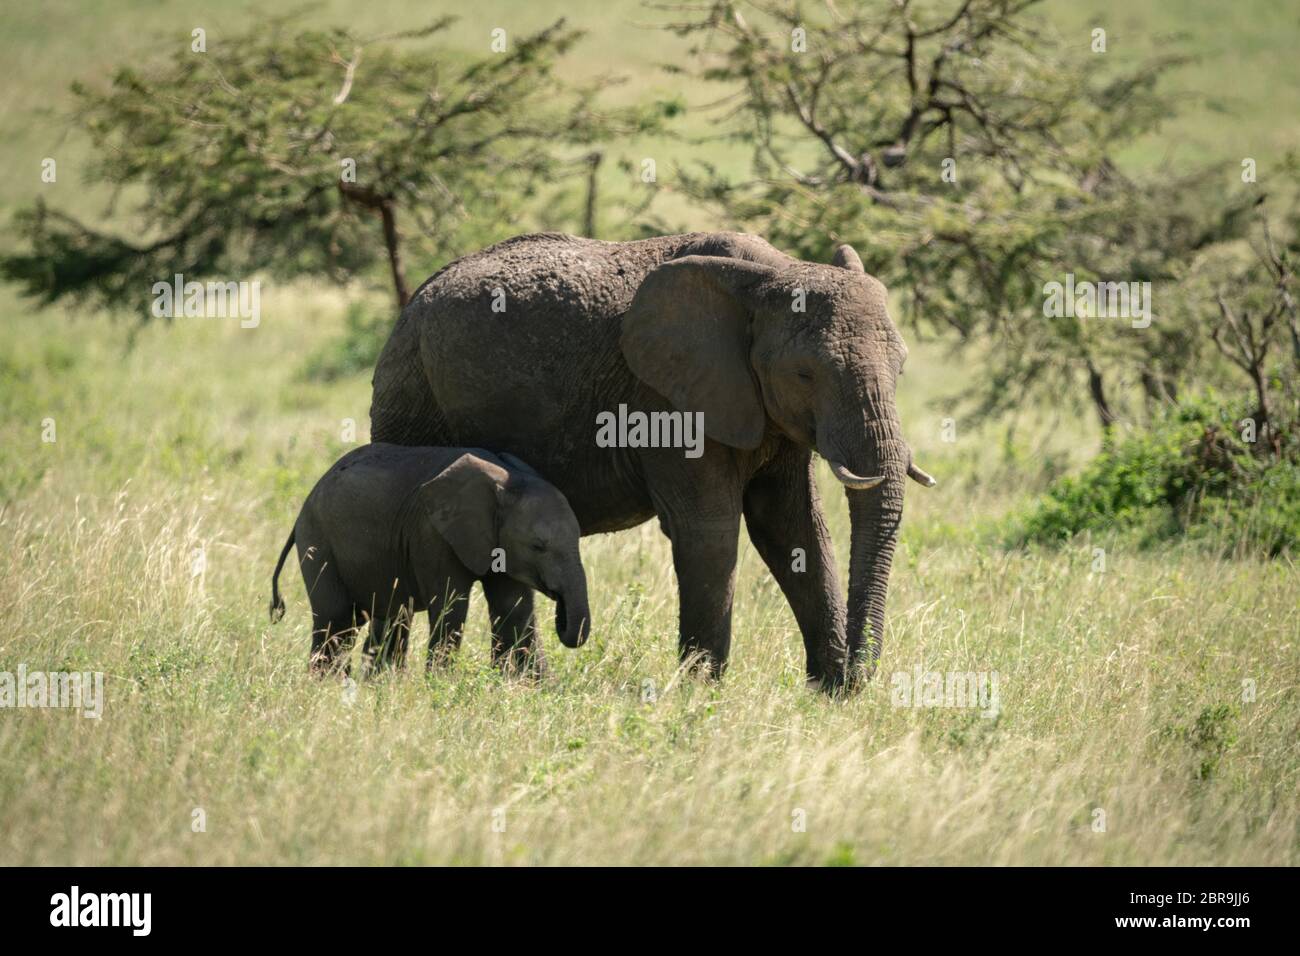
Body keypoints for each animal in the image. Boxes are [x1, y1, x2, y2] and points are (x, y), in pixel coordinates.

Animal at [269, 444, 591, 675]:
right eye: (538, 546)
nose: (561, 611)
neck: (506, 480)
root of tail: (304, 506)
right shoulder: (432, 534)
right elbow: (451, 607)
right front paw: (442, 686)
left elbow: (513, 609)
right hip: (318, 539)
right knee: (336, 621)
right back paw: (328, 686)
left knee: (385, 617)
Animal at [369, 232, 935, 690]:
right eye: (804, 374)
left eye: (903, 367)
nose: (861, 676)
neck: (772, 274)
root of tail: (411, 304)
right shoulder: (665, 397)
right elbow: (709, 530)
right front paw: (702, 693)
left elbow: (792, 528)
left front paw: (831, 693)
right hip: (411, 391)